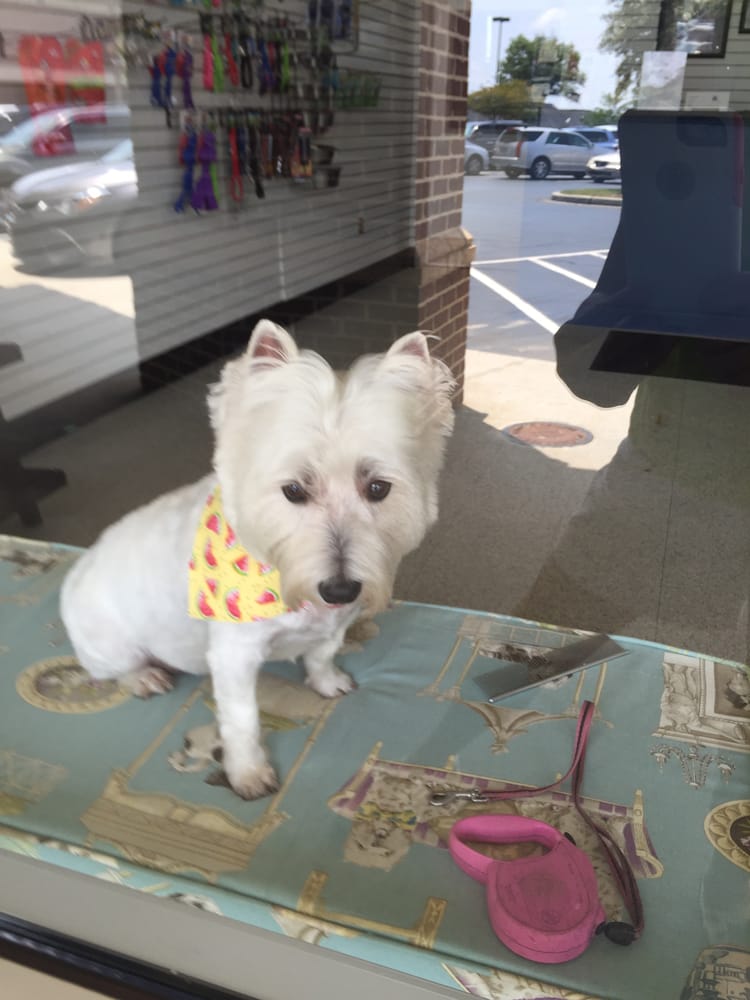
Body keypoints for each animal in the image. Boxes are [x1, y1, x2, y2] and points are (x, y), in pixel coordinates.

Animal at [60, 320, 455, 799]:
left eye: (378, 488)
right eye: (294, 490)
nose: (340, 589)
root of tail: (76, 574)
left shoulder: (334, 625)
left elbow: (322, 655)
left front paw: (327, 682)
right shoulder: (234, 654)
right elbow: (242, 717)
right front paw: (248, 772)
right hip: (109, 642)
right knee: (112, 668)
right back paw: (144, 677)